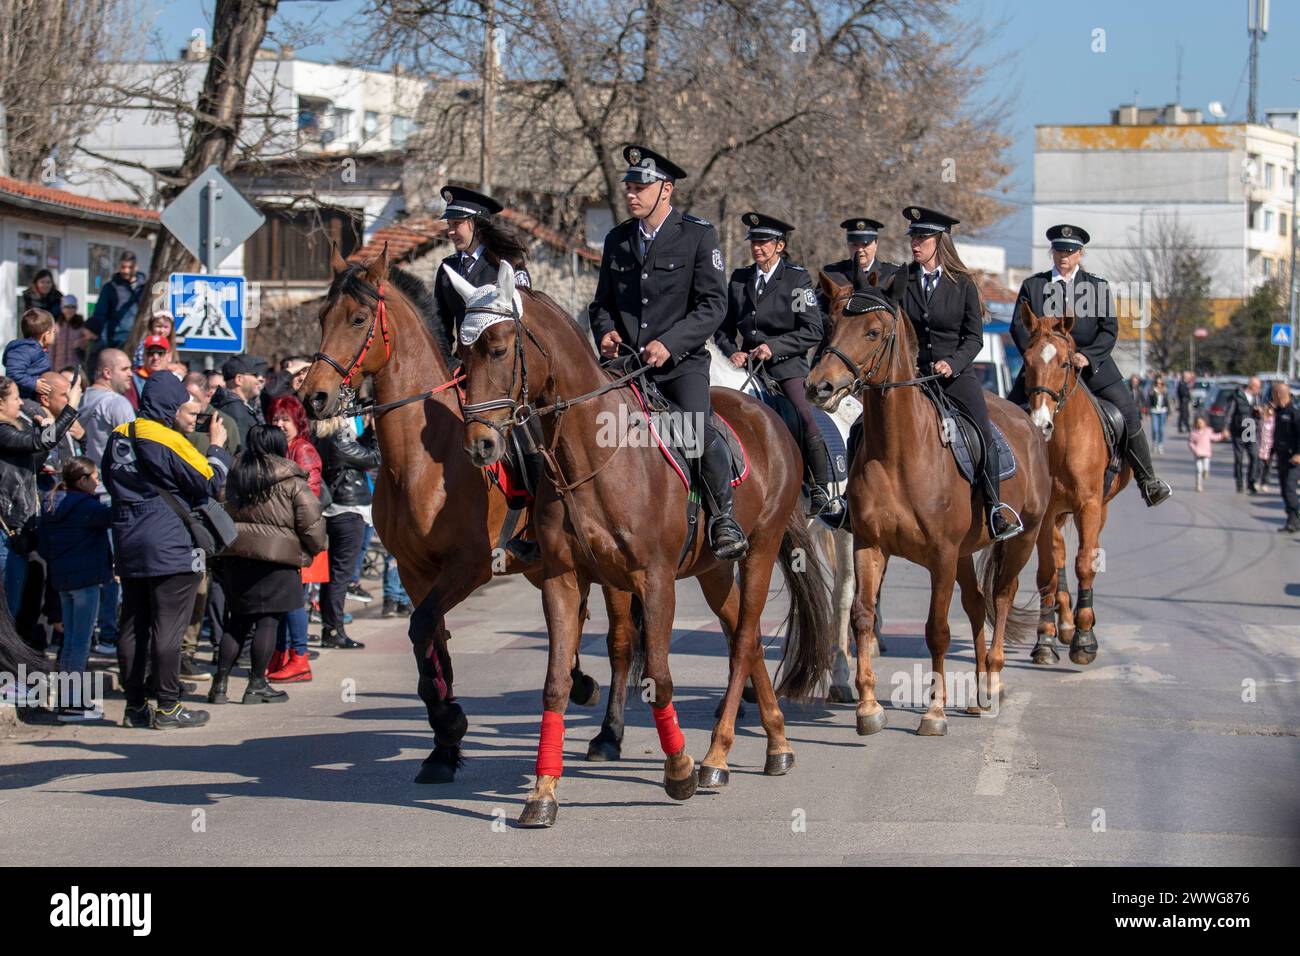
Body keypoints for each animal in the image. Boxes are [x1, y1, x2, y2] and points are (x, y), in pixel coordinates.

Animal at [296, 247, 639, 785]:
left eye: (357, 319)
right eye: (321, 318)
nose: (313, 397)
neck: (421, 461)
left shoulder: (469, 566)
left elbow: (422, 630)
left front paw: (451, 724)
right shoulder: (415, 572)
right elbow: (430, 643)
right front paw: (442, 748)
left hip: (612, 571)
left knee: (621, 642)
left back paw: (608, 734)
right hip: (545, 563)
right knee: (575, 616)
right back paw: (579, 681)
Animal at [452, 260, 826, 832]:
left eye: (496, 348)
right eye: (460, 353)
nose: (480, 445)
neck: (592, 452)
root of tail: (767, 415)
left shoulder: (654, 579)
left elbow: (660, 677)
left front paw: (679, 771)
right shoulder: (563, 580)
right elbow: (557, 683)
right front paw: (542, 792)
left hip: (759, 551)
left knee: (743, 639)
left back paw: (715, 757)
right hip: (713, 569)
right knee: (743, 635)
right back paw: (777, 743)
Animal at [806, 273, 1050, 738]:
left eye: (873, 332)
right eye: (829, 325)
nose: (819, 386)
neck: (899, 451)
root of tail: (1028, 422)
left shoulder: (941, 554)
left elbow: (936, 629)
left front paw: (934, 714)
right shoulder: (869, 545)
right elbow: (862, 616)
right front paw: (868, 708)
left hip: (1021, 540)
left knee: (1001, 598)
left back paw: (993, 682)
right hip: (965, 554)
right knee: (975, 603)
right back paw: (978, 693)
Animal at [1013, 303, 1128, 671]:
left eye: (1065, 363)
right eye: (1027, 361)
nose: (1041, 423)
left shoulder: (1089, 505)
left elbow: (1084, 564)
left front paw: (1085, 638)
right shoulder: (1047, 512)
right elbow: (1048, 572)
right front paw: (1046, 639)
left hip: (1098, 508)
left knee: (1082, 555)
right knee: (1059, 556)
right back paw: (1063, 623)